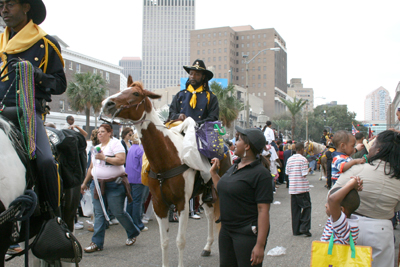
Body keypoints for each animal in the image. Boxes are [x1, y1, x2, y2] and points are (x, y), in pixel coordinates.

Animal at [100, 76, 231, 267]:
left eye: (136, 93)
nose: (107, 103)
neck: (166, 158)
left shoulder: (182, 203)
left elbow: (180, 241)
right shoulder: (158, 204)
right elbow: (164, 241)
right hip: (204, 194)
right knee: (209, 215)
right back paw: (207, 247)